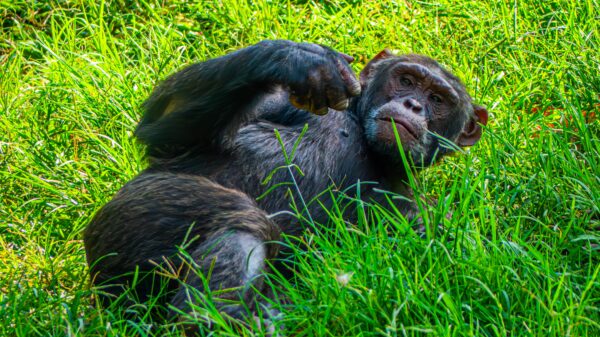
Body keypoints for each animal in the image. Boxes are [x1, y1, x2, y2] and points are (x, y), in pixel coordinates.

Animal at [83, 39, 488, 326]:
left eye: (438, 99)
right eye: (406, 80)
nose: (413, 105)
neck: (366, 140)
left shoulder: (425, 223)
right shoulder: (279, 100)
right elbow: (165, 130)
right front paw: (299, 58)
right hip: (122, 229)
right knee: (238, 221)